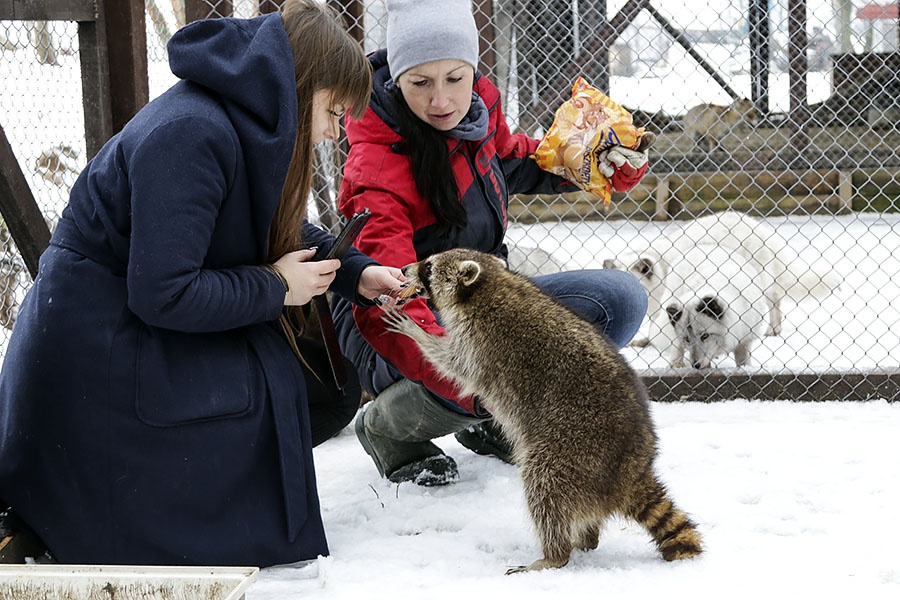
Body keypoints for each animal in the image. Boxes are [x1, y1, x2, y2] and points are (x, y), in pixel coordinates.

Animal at [380, 247, 704, 572]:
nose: (404, 269)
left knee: (544, 488)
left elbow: (452, 363)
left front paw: (416, 332)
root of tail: (632, 471)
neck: (488, 286)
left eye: (428, 267)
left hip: (572, 452)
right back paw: (586, 538)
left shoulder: (479, 343)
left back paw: (554, 554)